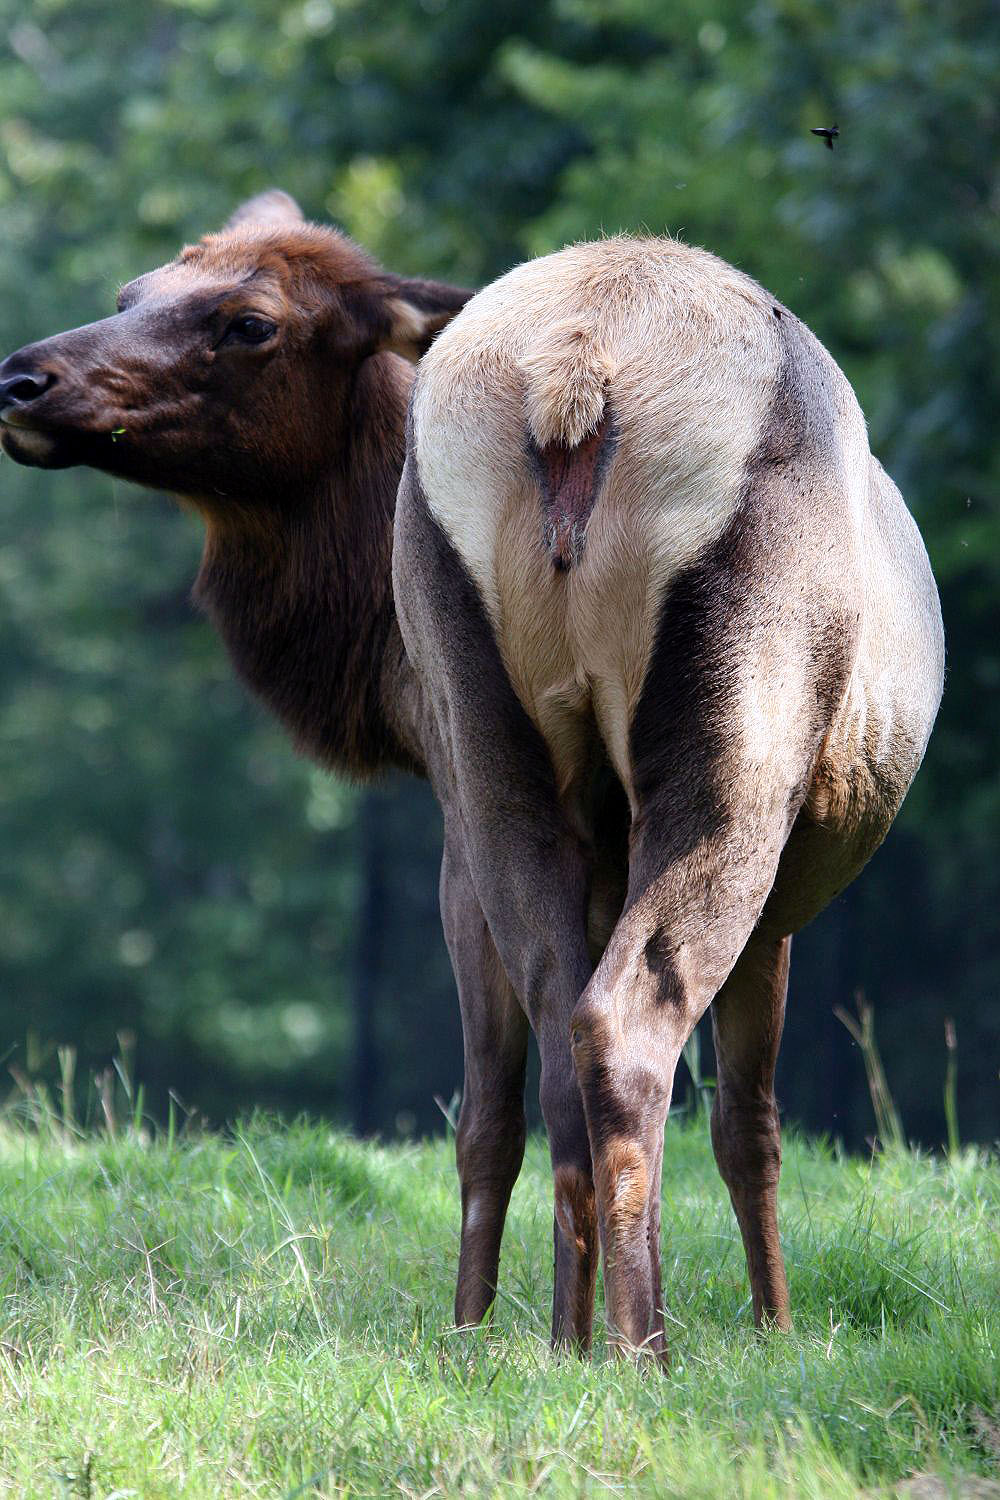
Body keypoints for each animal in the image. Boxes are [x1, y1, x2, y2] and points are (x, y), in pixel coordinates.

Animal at [392, 234, 944, 1360]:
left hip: (485, 749)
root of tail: (575, 375)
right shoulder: (781, 908)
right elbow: (749, 1125)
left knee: (554, 1043)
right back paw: (642, 1349)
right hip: (734, 747)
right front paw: (776, 1328)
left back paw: (565, 1343)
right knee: (624, 1024)